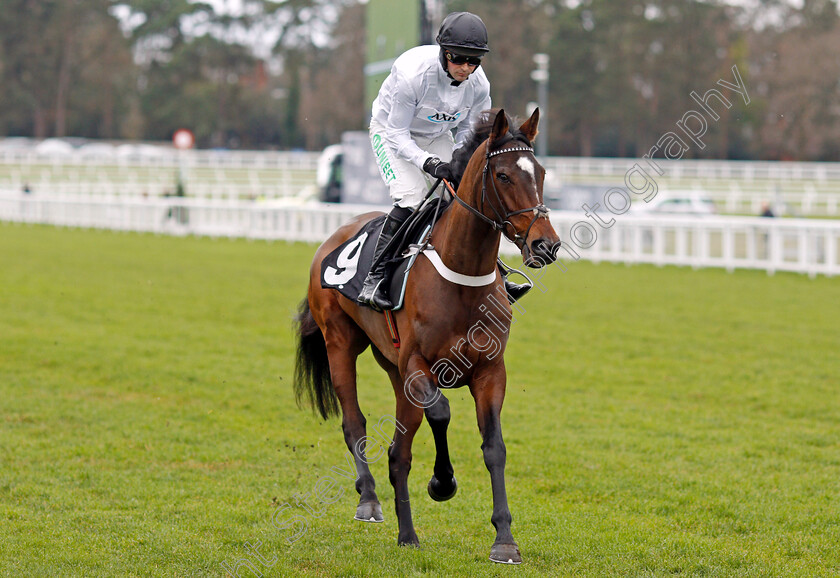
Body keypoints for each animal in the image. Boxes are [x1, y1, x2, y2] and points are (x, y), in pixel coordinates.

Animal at [292, 108, 560, 564]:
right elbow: (441, 413)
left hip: (393, 369)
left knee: (398, 453)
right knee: (355, 422)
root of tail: (334, 236)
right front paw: (442, 483)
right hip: (341, 344)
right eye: (503, 175)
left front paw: (504, 539)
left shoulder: (490, 371)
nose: (546, 245)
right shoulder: (419, 366)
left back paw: (407, 534)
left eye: (539, 172)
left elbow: (494, 448)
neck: (462, 276)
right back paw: (370, 500)